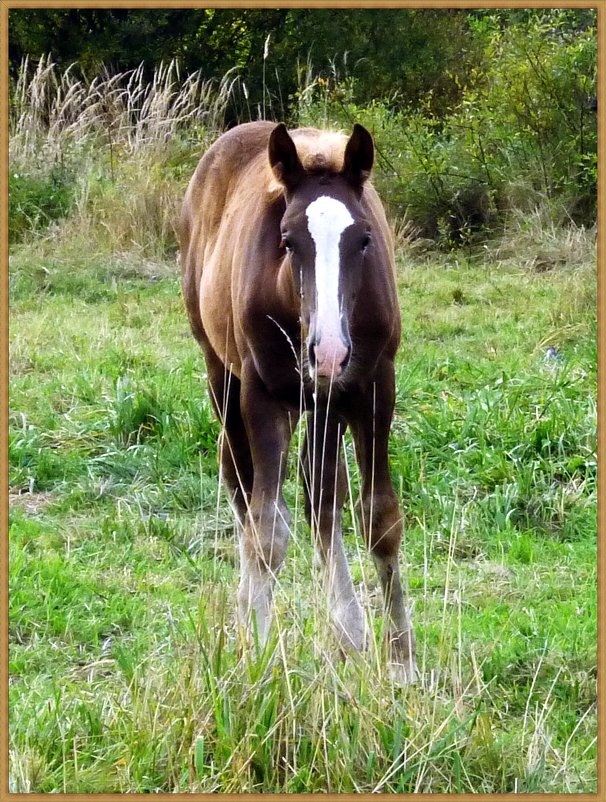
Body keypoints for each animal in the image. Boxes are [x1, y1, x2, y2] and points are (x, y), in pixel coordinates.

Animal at [180, 120, 418, 680]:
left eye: (364, 239)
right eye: (288, 241)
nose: (328, 352)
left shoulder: (370, 388)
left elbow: (376, 519)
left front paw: (401, 663)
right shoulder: (261, 395)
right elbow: (267, 532)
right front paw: (259, 655)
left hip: (320, 402)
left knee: (318, 494)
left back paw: (349, 631)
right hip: (221, 376)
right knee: (242, 485)